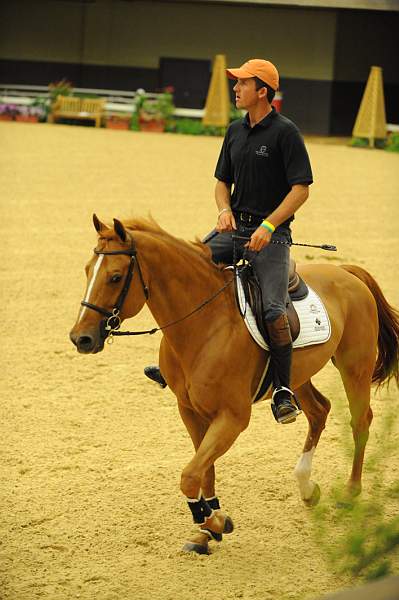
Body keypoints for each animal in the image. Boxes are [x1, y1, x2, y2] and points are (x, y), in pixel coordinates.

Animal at [70, 214, 398, 552]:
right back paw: (307, 487)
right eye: (87, 270)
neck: (204, 325)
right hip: (298, 375)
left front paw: (216, 521)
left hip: (354, 367)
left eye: (115, 277)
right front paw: (206, 528)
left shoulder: (232, 417)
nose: (81, 338)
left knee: (360, 421)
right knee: (319, 411)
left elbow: (190, 475)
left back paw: (350, 492)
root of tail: (345, 272)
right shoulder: (190, 411)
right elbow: (203, 471)